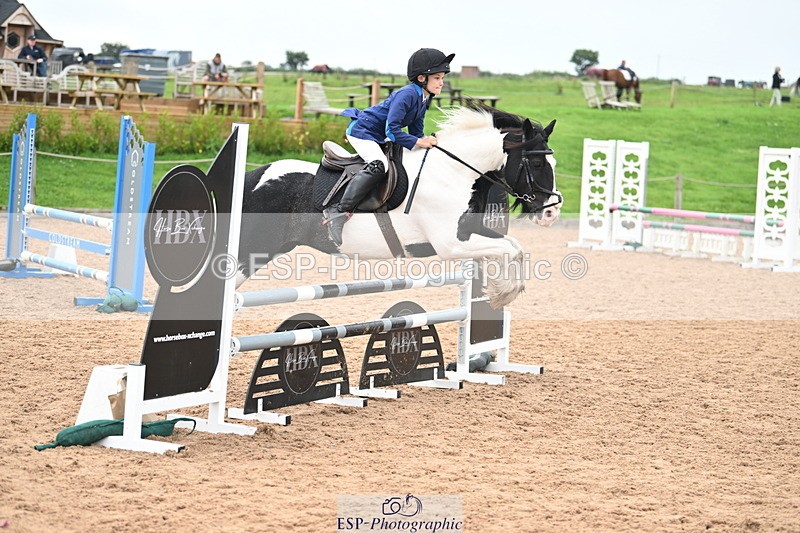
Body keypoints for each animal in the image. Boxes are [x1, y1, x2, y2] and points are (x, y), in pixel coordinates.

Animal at [236, 105, 562, 309]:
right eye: (536, 164)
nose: (551, 211)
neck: (454, 170)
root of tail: (251, 178)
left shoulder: (469, 231)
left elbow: (515, 247)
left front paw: (499, 290)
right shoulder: (451, 244)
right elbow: (508, 249)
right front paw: (501, 293)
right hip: (249, 251)